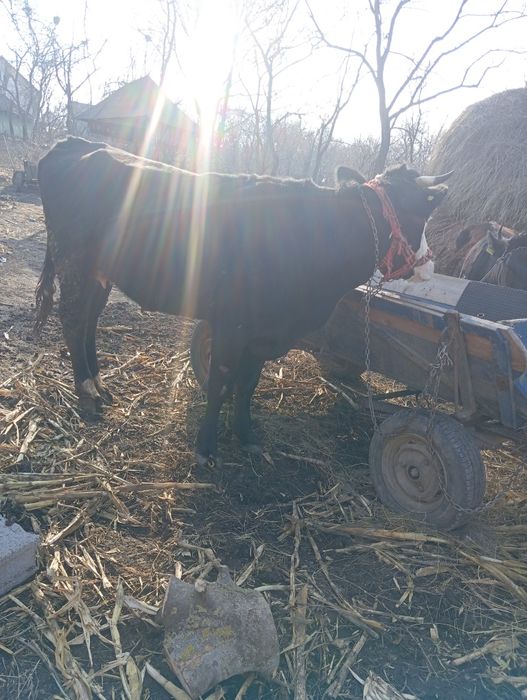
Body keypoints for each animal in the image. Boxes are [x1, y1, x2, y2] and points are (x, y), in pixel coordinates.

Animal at [35, 137, 451, 464]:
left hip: (99, 273)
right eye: (419, 213)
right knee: (73, 319)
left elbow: (248, 382)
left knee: (90, 320)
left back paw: (100, 385)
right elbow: (222, 381)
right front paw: (206, 446)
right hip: (73, 258)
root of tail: (75, 143)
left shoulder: (262, 333)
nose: (431, 266)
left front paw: (246, 435)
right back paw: (87, 395)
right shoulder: (232, 324)